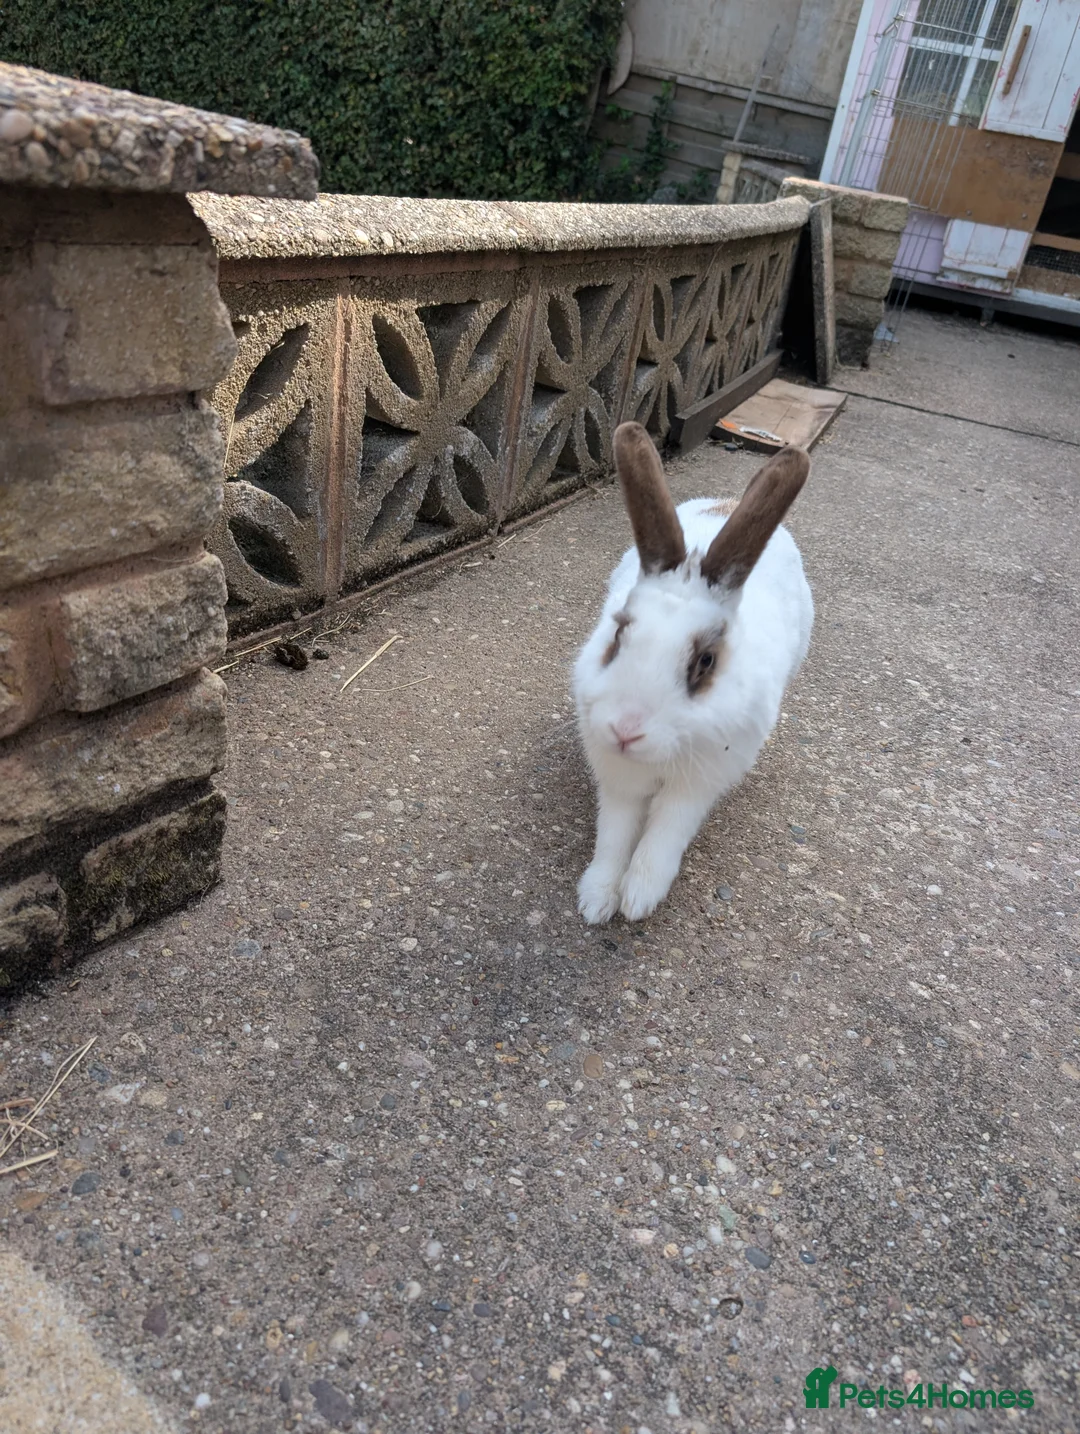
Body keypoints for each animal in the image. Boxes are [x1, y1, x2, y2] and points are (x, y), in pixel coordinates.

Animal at [572, 421, 812, 924]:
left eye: (705, 662)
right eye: (618, 634)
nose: (625, 730)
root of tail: (727, 503)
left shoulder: (698, 784)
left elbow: (663, 835)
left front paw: (640, 897)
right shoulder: (618, 781)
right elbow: (614, 836)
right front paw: (597, 900)